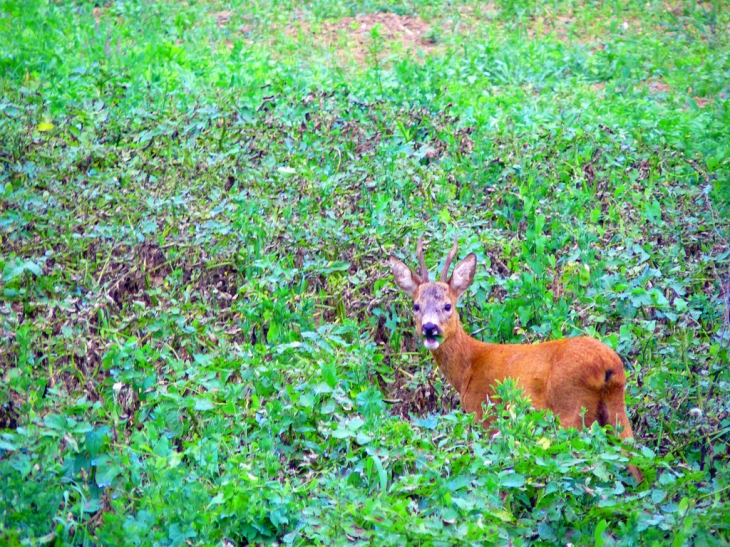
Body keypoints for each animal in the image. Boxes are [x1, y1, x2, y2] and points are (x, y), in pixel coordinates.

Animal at [390, 237, 640, 484]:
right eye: (416, 306)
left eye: (447, 306)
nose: (429, 328)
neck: (469, 367)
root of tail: (609, 365)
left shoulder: (485, 412)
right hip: (615, 407)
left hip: (571, 404)